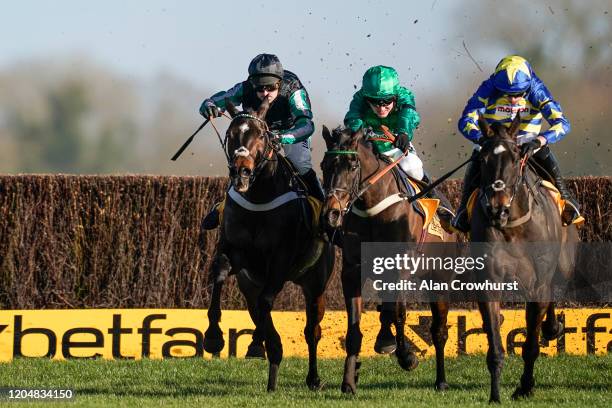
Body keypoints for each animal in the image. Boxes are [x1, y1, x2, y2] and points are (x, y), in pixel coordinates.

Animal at [202, 99, 334, 392]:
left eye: (261, 135)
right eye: (231, 133)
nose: (241, 171)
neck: (259, 199)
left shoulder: (281, 260)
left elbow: (268, 302)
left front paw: (253, 343)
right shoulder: (234, 251)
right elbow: (219, 274)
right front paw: (214, 336)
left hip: (315, 283)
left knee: (312, 330)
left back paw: (313, 378)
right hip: (249, 284)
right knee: (262, 315)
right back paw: (272, 373)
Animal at [320, 126, 454, 392]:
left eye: (352, 165)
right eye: (324, 165)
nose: (332, 213)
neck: (373, 208)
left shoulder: (400, 267)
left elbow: (399, 313)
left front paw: (407, 357)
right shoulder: (353, 270)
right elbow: (355, 327)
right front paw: (349, 381)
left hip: (439, 278)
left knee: (438, 330)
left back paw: (442, 381)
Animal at [474, 114, 580, 402]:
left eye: (515, 158)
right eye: (483, 159)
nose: (497, 209)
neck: (513, 226)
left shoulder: (538, 283)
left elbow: (531, 345)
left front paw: (524, 386)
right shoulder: (489, 282)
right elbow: (495, 347)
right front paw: (495, 394)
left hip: (563, 265)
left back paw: (552, 328)